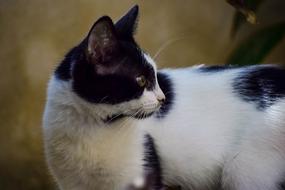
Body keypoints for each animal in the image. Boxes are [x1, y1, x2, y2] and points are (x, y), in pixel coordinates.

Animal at [41, 4, 284, 190]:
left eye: (156, 77)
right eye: (141, 80)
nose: (163, 98)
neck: (90, 129)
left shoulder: (142, 173)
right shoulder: (72, 183)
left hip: (245, 171)